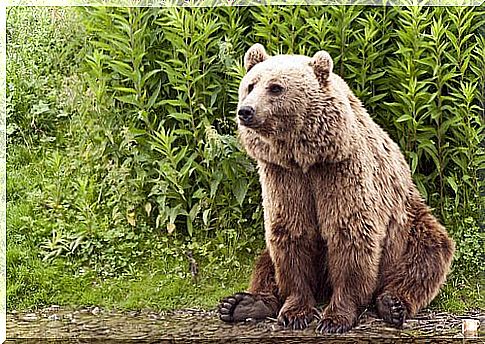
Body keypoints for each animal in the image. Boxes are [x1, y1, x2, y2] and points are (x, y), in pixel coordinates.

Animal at [217, 43, 456, 334]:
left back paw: (393, 304)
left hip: (409, 223)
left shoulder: (341, 171)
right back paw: (242, 304)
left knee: (427, 254)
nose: (246, 111)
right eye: (250, 85)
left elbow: (349, 234)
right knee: (265, 262)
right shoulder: (284, 177)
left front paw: (335, 318)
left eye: (275, 87)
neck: (305, 157)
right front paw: (295, 312)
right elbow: (291, 233)